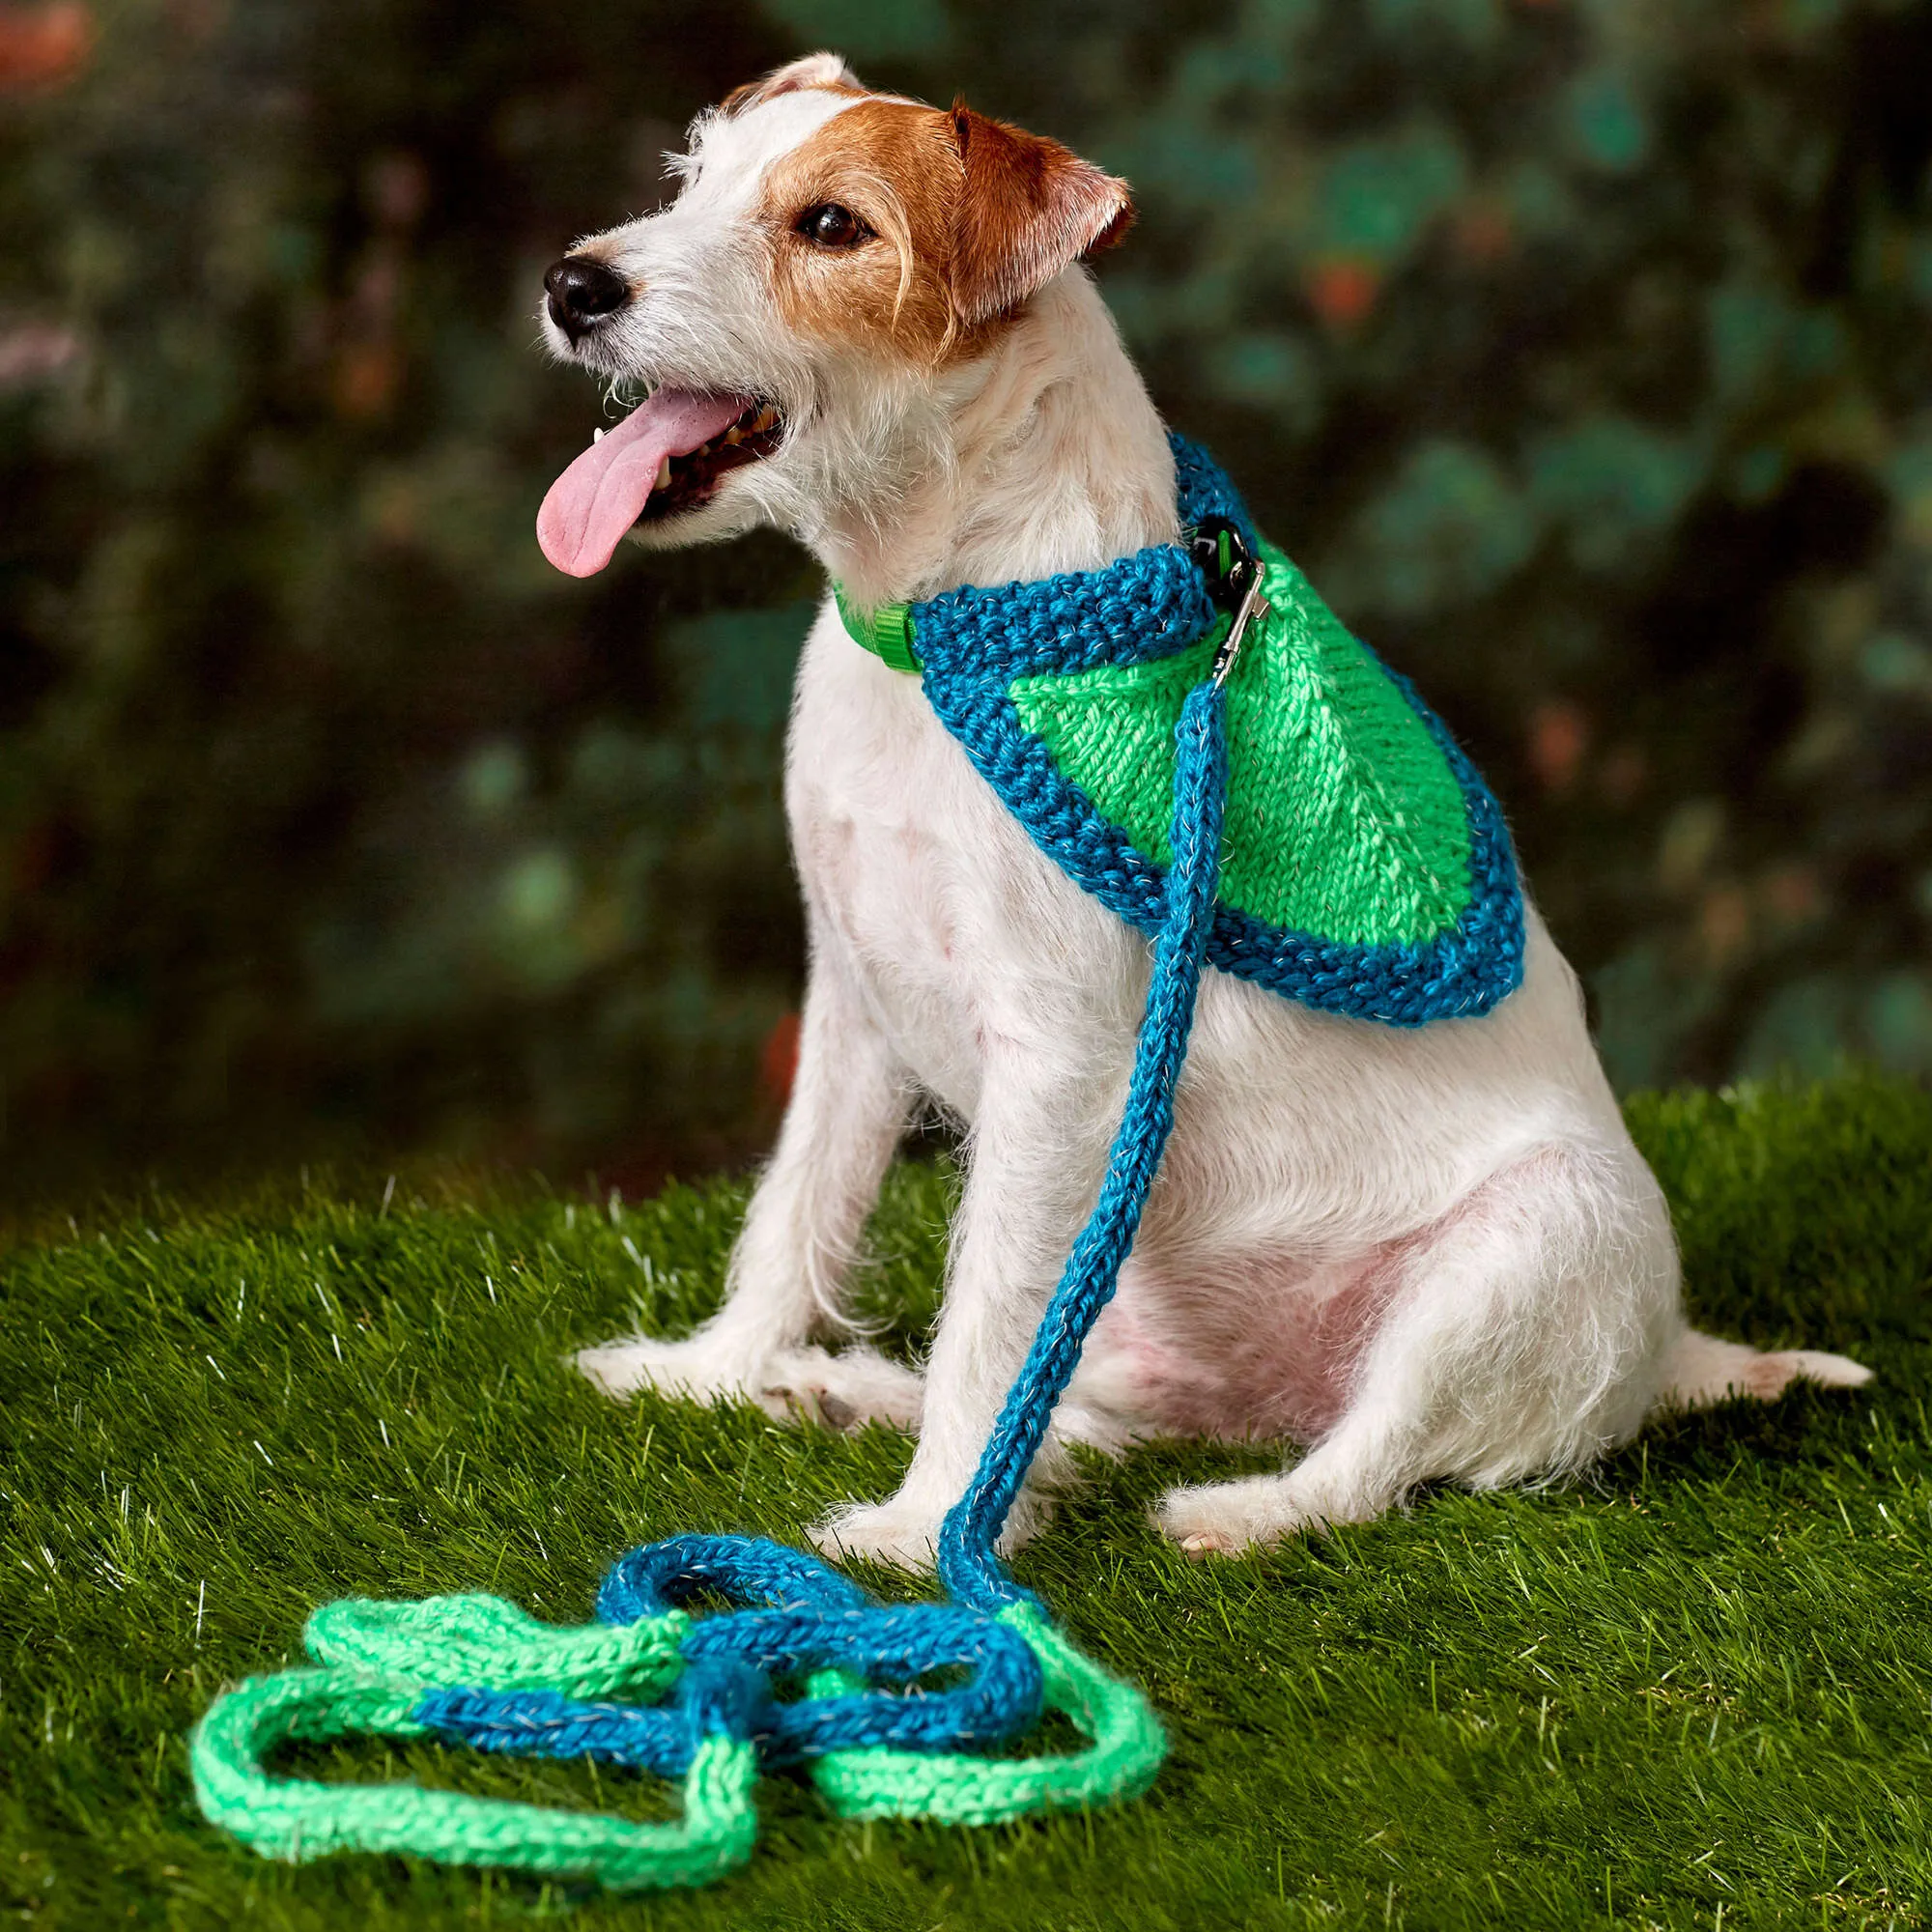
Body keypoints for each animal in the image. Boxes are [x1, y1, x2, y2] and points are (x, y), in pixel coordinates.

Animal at [537, 52, 1862, 1561]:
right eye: (692, 174)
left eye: (830, 227)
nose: (574, 284)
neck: (943, 617)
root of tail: (1673, 1353)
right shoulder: (852, 1005)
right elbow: (798, 1204)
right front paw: (715, 1368)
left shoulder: (1056, 1064)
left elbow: (991, 1318)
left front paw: (925, 1534)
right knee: (1071, 1398)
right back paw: (837, 1388)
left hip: (1539, 1242)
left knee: (1370, 1460)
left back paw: (1231, 1512)